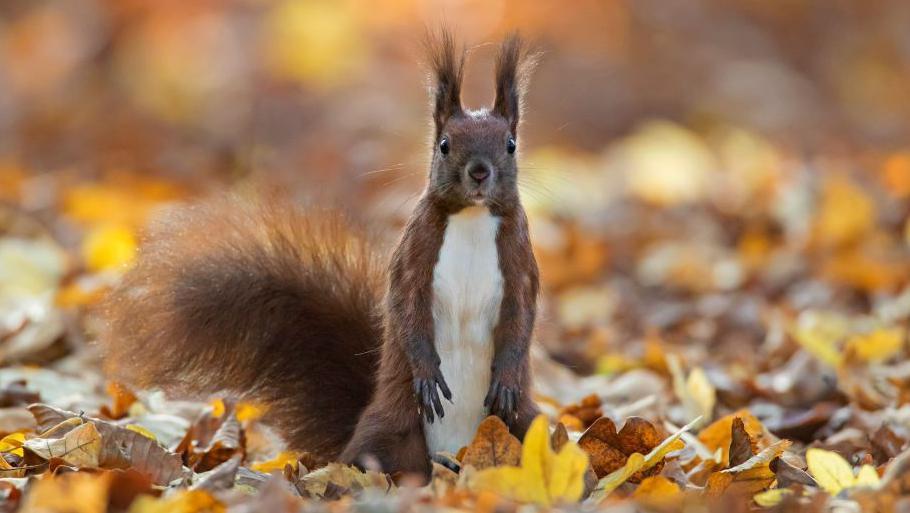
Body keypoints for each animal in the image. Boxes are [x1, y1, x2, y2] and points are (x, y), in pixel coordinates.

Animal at [103, 31, 540, 481]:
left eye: (510, 145)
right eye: (444, 144)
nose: (479, 172)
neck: (472, 217)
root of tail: (455, 456)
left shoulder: (521, 262)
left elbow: (522, 318)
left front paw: (506, 377)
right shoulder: (413, 257)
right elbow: (407, 310)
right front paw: (426, 372)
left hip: (526, 424)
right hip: (389, 428)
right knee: (367, 459)